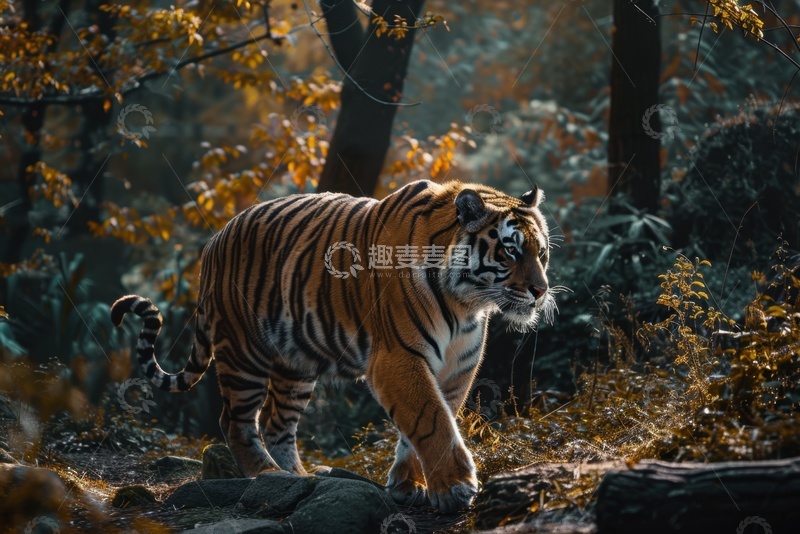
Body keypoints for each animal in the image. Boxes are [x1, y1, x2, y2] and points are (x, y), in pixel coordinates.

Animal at [111, 179, 554, 513]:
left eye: (542, 252)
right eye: (510, 251)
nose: (541, 291)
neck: (467, 303)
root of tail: (213, 241)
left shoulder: (457, 368)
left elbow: (424, 425)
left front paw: (406, 484)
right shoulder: (398, 358)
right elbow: (432, 421)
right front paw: (456, 487)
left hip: (296, 366)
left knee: (276, 423)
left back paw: (296, 479)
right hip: (244, 352)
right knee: (235, 421)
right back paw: (266, 474)